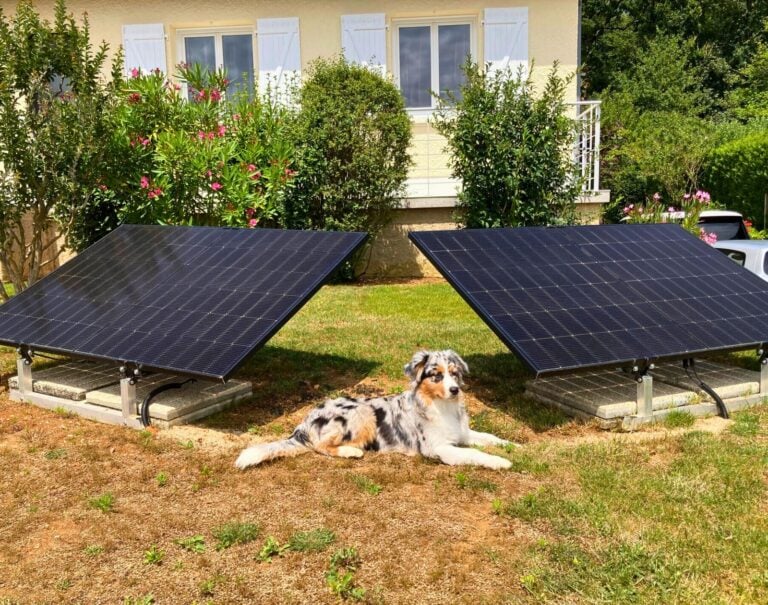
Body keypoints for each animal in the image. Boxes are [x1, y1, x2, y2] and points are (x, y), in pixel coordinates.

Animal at [231, 350, 512, 472]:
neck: (443, 407)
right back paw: (351, 451)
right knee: (320, 446)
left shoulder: (463, 433)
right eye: (436, 375)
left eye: (454, 373)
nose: (454, 390)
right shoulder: (439, 448)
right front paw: (501, 462)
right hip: (362, 412)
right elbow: (474, 454)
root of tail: (303, 424)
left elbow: (490, 438)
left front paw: (513, 447)